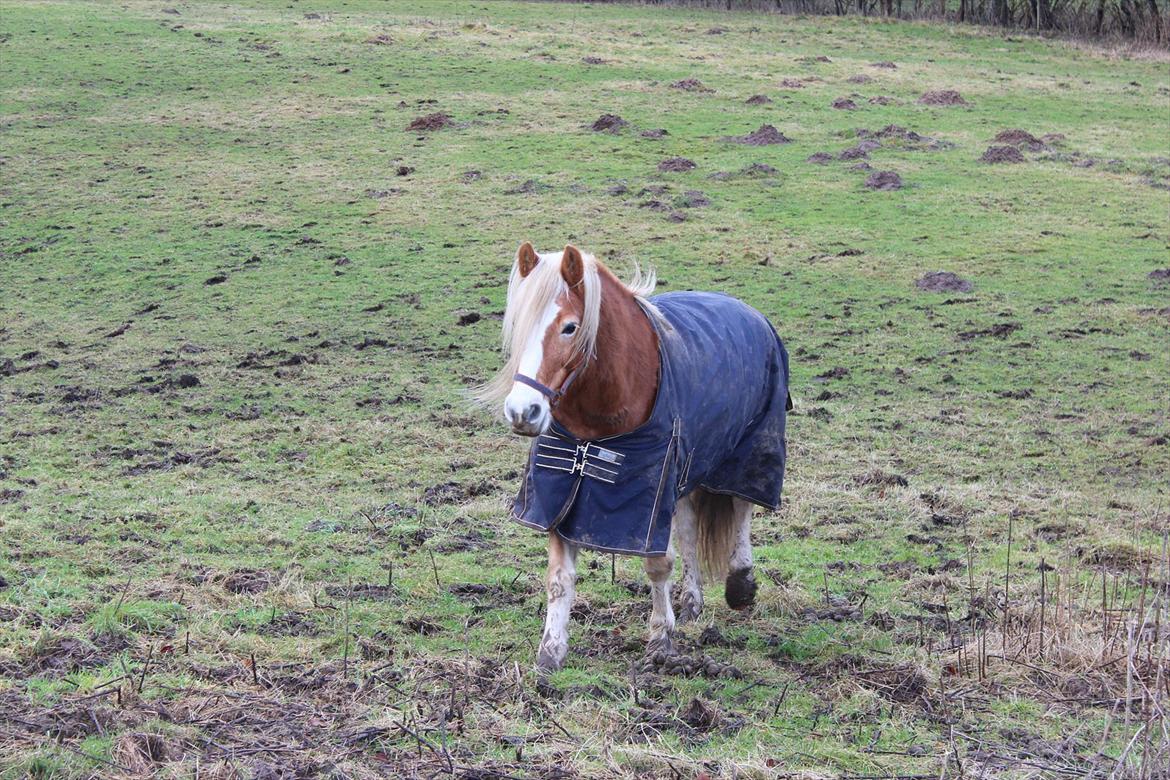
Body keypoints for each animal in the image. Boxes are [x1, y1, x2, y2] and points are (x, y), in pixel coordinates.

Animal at [479, 242, 790, 673]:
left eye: (570, 327)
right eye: (518, 324)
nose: (523, 412)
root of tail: (748, 311)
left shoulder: (650, 491)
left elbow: (658, 564)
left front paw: (660, 639)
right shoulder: (564, 492)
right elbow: (559, 577)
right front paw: (550, 653)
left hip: (748, 450)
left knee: (743, 506)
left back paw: (740, 585)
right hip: (688, 469)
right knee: (690, 528)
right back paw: (692, 603)